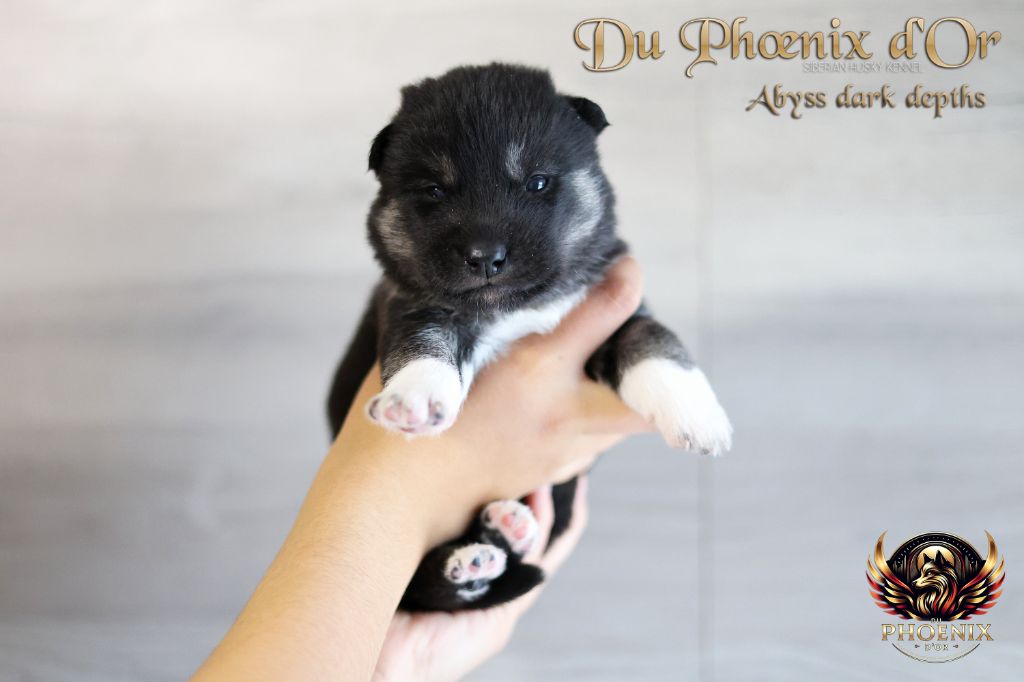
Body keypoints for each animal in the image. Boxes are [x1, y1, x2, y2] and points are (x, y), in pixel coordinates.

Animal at [327, 63, 732, 611]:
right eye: (434, 191)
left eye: (537, 183)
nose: (484, 255)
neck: (514, 307)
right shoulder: (411, 304)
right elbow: (423, 343)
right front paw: (415, 399)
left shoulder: (610, 307)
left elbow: (651, 338)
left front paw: (696, 414)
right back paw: (468, 561)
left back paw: (504, 530)